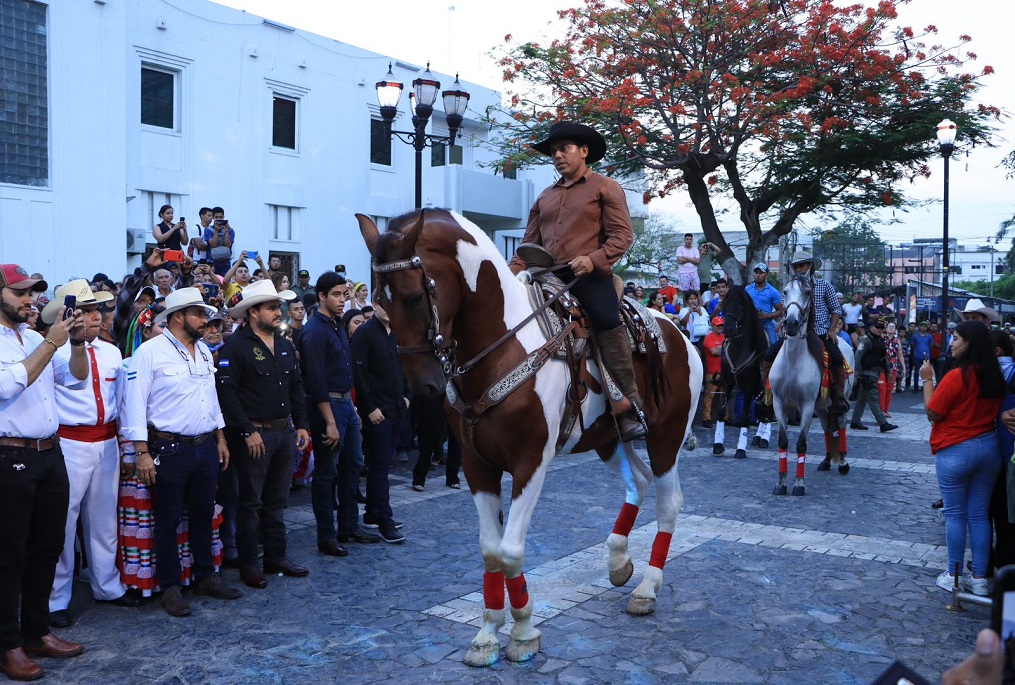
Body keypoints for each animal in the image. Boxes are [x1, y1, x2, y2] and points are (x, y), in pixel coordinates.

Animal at [359, 210, 706, 669]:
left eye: (415, 297)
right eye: (379, 302)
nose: (422, 387)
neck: (502, 344)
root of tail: (679, 334)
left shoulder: (530, 463)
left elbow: (509, 551)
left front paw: (523, 631)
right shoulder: (476, 465)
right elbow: (490, 550)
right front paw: (487, 634)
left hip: (666, 436)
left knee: (667, 502)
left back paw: (647, 588)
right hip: (609, 439)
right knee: (640, 482)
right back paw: (618, 560)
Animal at [710, 286, 771, 460]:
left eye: (740, 305)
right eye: (724, 304)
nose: (728, 329)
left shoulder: (748, 387)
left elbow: (744, 417)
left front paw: (740, 449)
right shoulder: (727, 382)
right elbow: (721, 411)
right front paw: (718, 445)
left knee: (769, 411)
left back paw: (764, 438)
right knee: (763, 410)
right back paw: (758, 437)